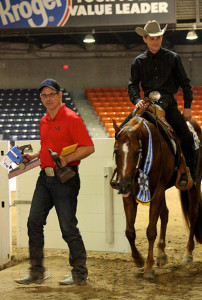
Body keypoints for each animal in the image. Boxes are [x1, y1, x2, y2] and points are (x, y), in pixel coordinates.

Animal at [112, 115, 202, 278]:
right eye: (116, 152)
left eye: (137, 152)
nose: (123, 186)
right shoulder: (130, 195)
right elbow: (129, 231)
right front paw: (138, 259)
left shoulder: (158, 191)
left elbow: (151, 231)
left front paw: (148, 267)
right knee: (165, 214)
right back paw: (161, 254)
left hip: (194, 184)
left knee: (193, 215)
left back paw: (188, 253)